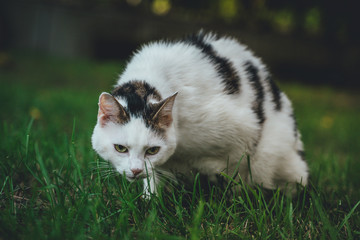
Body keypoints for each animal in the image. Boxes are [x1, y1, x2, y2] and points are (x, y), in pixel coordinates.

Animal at [91, 31, 308, 197]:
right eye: (120, 148)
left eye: (152, 150)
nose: (136, 170)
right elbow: (153, 180)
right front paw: (150, 201)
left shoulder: (243, 137)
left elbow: (233, 178)